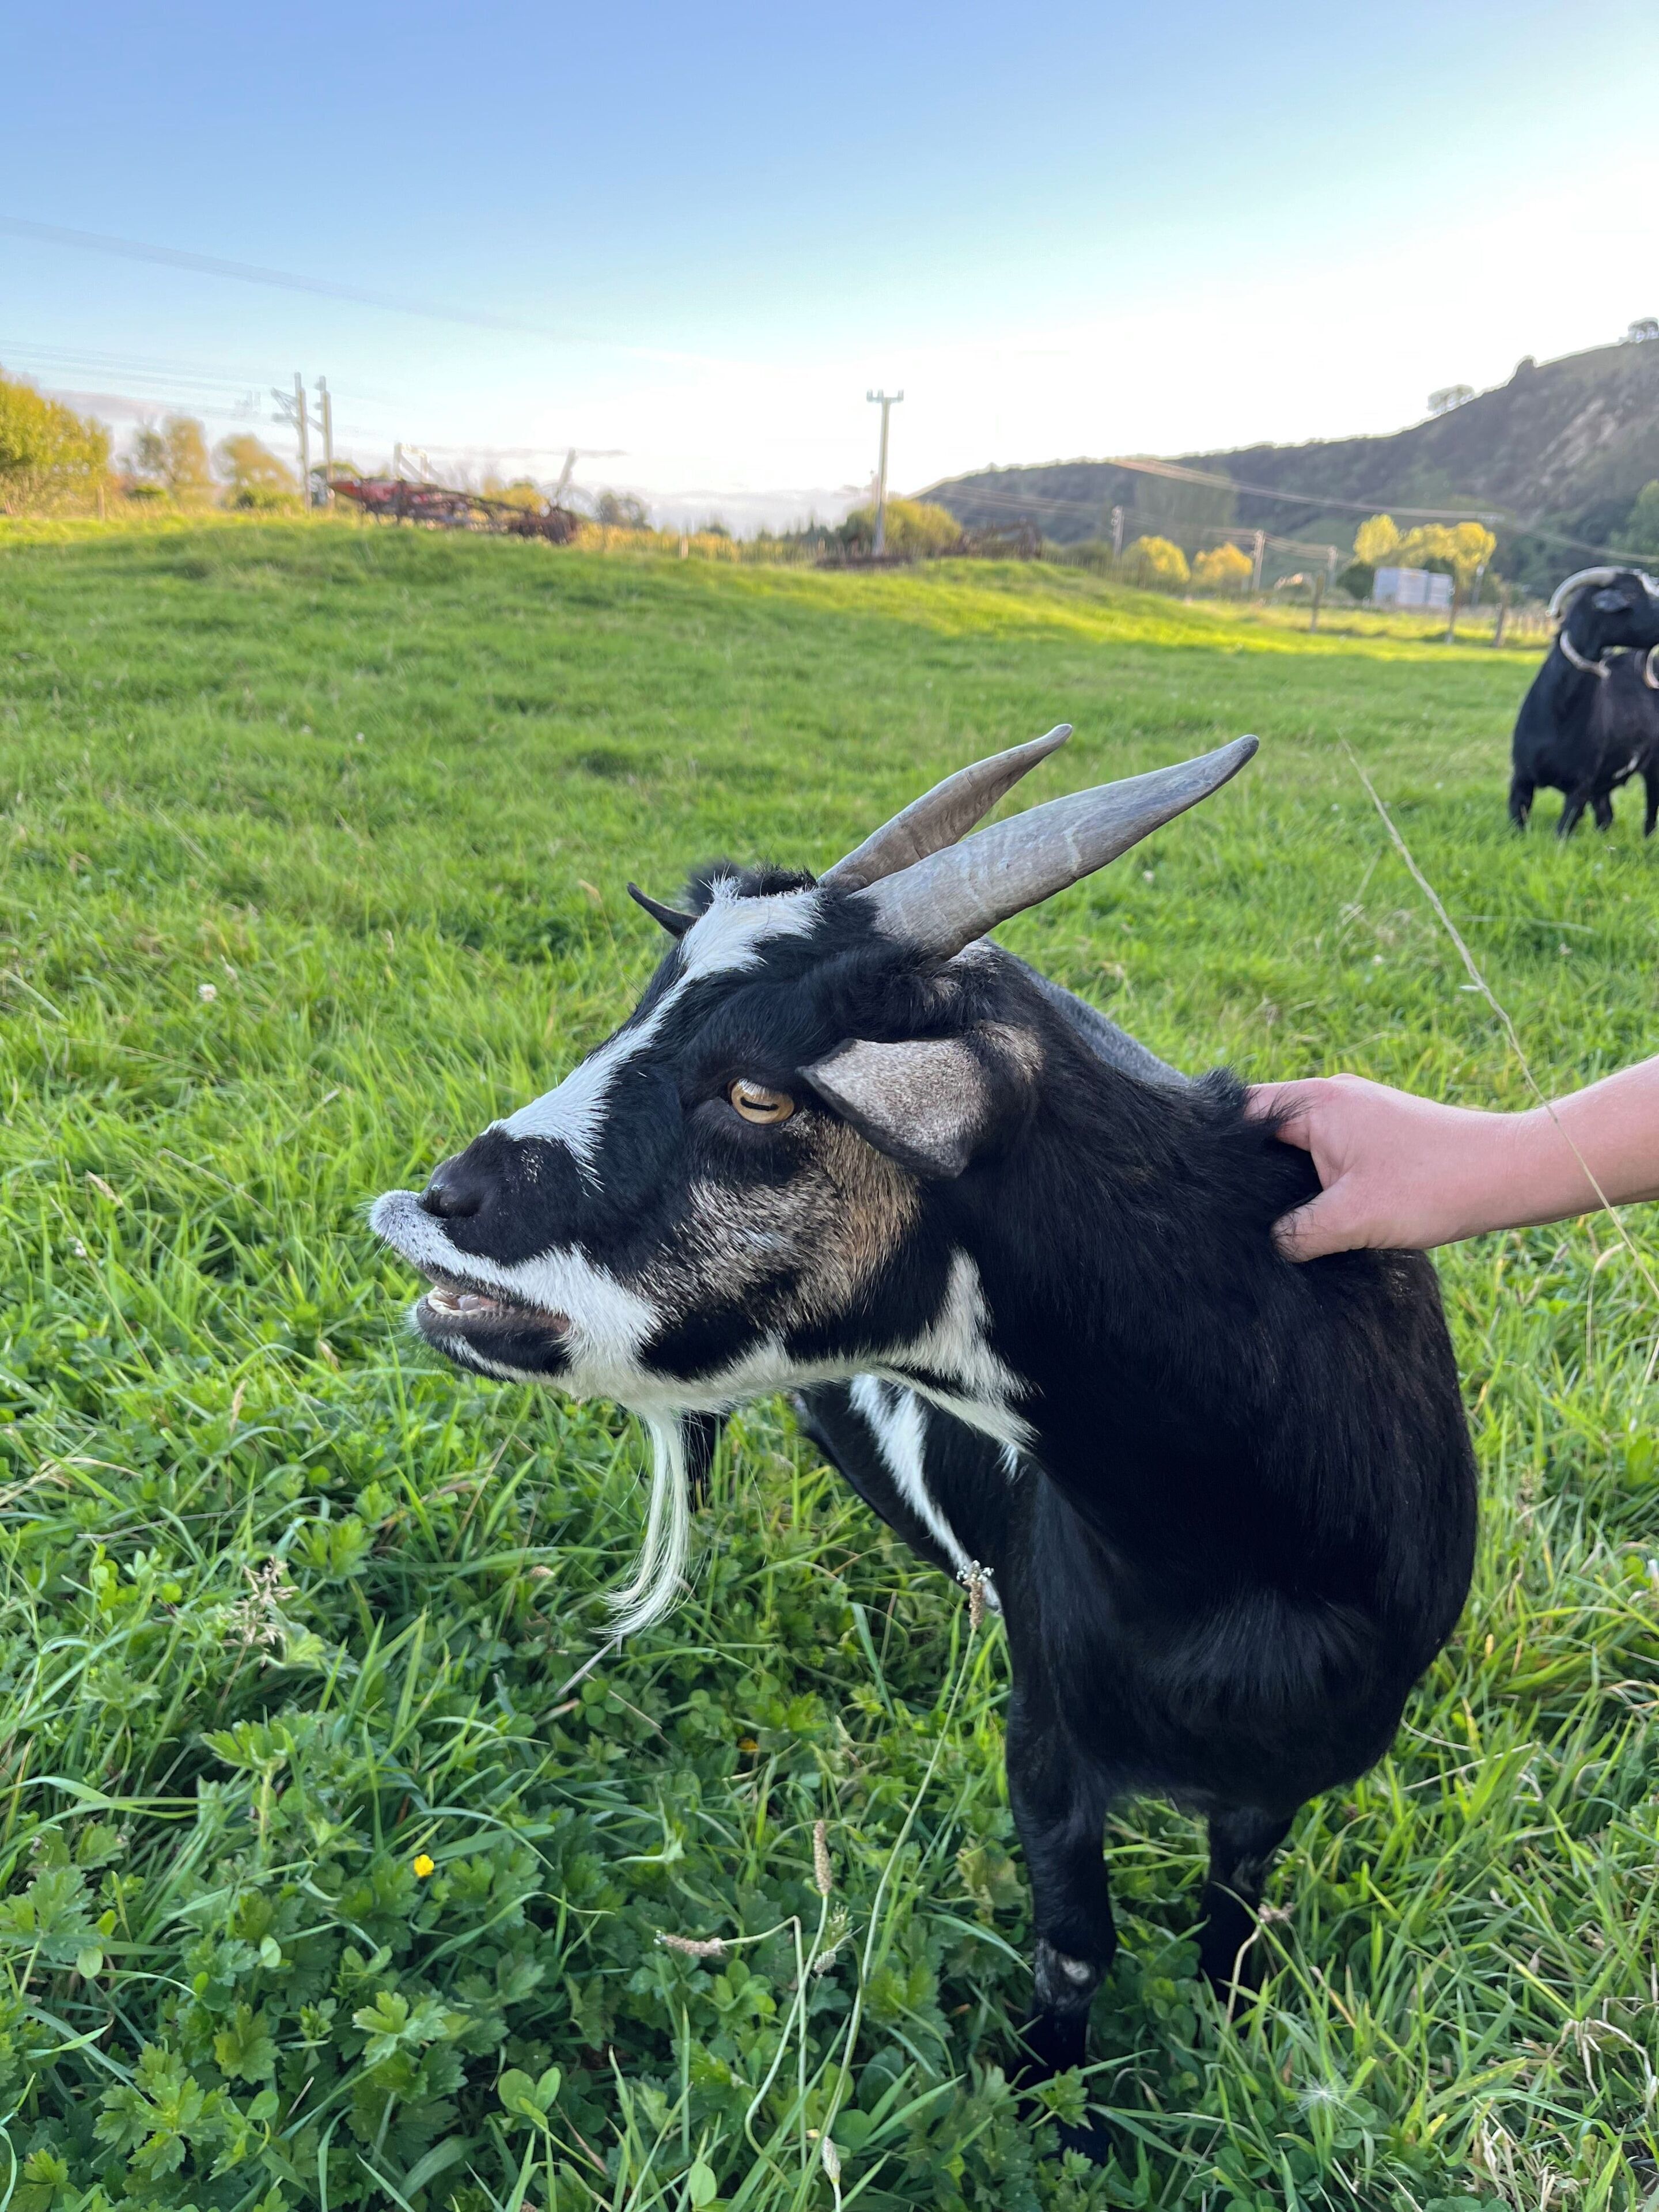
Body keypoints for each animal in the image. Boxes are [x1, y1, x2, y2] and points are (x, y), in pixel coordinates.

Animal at [371, 730, 1477, 2138]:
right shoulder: (1048, 1745)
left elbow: (1233, 1913)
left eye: (760, 1094)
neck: (1243, 1561)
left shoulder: (1281, 1777)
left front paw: (1226, 2039)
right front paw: (1056, 2109)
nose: (439, 1204)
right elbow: (1077, 1945)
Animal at [1509, 566, 1659, 834]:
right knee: (1607, 817)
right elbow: (1517, 823)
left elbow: (1562, 831)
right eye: (1630, 594)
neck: (1559, 714)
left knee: (1650, 815)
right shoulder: (1521, 778)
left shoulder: (1581, 786)